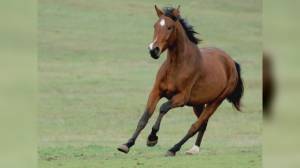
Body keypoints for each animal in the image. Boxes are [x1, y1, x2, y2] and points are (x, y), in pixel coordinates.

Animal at [117, 5, 244, 158]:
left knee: (195, 126)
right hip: (198, 104)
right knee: (203, 124)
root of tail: (231, 62)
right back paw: (194, 149)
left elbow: (163, 108)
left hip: (215, 102)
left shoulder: (181, 98)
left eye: (170, 27)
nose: (153, 50)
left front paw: (152, 138)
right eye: (155, 26)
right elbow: (145, 117)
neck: (177, 66)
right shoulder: (156, 92)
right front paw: (127, 144)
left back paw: (173, 149)